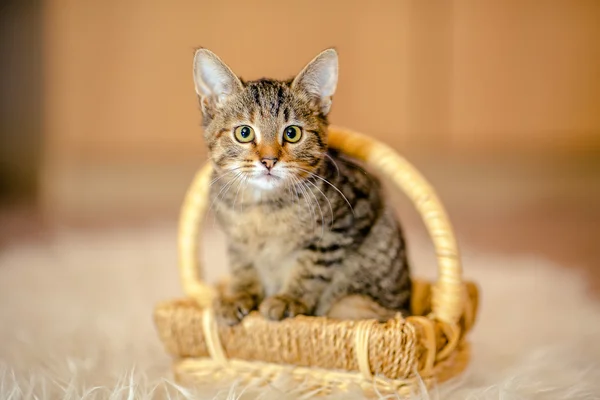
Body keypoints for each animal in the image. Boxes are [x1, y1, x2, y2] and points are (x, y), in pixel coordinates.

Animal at [195, 47, 410, 324]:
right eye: (244, 133)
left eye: (292, 133)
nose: (269, 160)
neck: (263, 207)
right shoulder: (235, 239)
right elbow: (243, 266)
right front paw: (238, 296)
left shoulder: (344, 222)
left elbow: (311, 267)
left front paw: (289, 299)